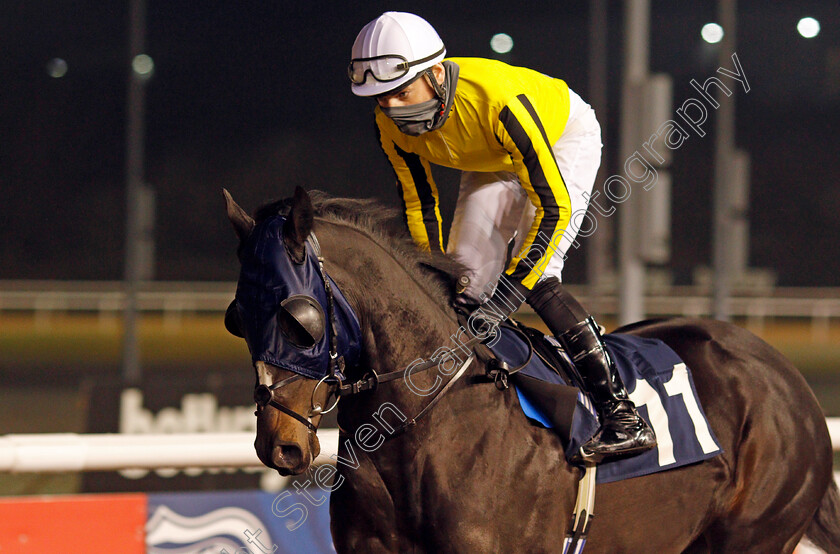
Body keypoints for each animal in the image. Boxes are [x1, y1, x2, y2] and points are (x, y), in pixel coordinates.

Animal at [223, 187, 840, 552]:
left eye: (298, 318)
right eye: (238, 317)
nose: (279, 445)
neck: (429, 422)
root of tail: (787, 377)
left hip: (754, 532)